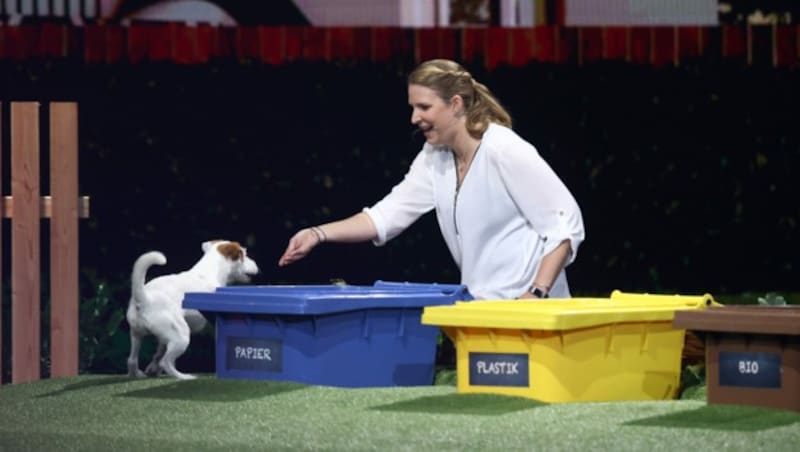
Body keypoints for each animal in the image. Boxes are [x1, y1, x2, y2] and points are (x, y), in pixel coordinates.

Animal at [126, 242, 260, 380]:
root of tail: (145, 299)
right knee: (166, 362)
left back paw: (137, 374)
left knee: (132, 359)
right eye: (244, 254)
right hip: (182, 336)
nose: (257, 264)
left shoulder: (163, 340)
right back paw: (184, 376)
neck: (209, 272)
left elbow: (158, 353)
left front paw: (153, 369)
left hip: (136, 335)